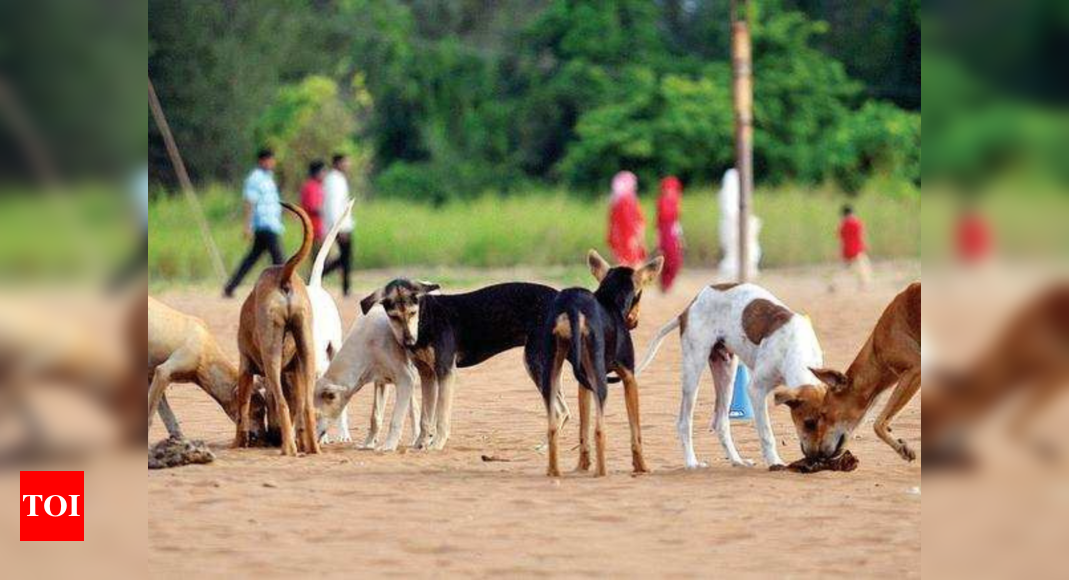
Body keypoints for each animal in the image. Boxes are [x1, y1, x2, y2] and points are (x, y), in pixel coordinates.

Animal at [234, 201, 316, 457]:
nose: (271, 436)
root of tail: (283, 274)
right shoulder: (295, 371)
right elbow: (298, 406)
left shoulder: (245, 368)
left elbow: (242, 409)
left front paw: (238, 442)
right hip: (307, 349)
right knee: (307, 406)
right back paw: (312, 448)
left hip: (271, 354)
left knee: (282, 403)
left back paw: (288, 448)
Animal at [361, 279, 564, 450]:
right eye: (394, 316)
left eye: (412, 312)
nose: (410, 341)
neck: (426, 318)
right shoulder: (427, 374)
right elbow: (425, 418)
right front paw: (420, 444)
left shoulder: (445, 370)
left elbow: (442, 416)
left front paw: (437, 444)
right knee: (564, 411)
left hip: (534, 363)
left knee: (559, 412)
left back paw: (545, 447)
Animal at [530, 249, 662, 476]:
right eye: (641, 293)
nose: (635, 322)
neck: (610, 299)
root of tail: (573, 308)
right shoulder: (629, 378)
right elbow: (636, 432)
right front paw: (641, 466)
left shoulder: (584, 383)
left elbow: (583, 431)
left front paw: (582, 466)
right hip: (600, 382)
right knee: (600, 430)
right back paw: (602, 472)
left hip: (550, 375)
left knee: (553, 427)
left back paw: (554, 471)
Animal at [632, 284, 825, 469]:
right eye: (807, 423)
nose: (819, 457)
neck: (797, 347)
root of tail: (688, 309)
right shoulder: (756, 390)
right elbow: (767, 434)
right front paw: (774, 462)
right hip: (693, 373)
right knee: (684, 423)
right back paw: (691, 462)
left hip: (726, 372)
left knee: (721, 423)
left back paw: (736, 460)